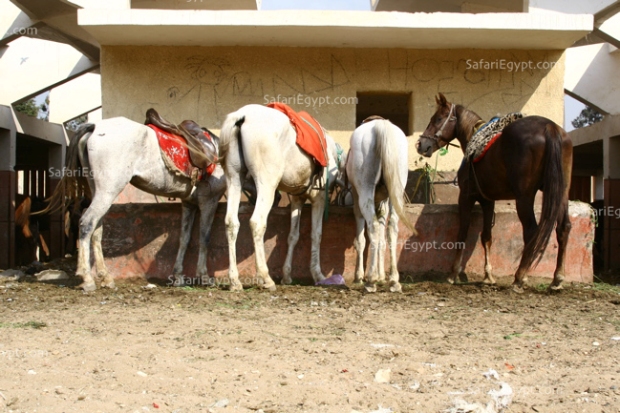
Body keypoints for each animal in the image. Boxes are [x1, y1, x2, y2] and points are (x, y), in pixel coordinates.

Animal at [44, 115, 228, 290]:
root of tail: (95, 127)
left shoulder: (188, 203)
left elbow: (184, 239)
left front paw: (178, 277)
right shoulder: (209, 201)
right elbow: (204, 238)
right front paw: (204, 277)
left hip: (98, 191)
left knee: (97, 229)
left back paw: (106, 278)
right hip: (108, 191)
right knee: (87, 223)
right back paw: (87, 278)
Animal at [219, 103, 344, 290]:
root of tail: (242, 117)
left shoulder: (297, 198)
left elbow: (293, 235)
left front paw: (287, 275)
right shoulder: (319, 198)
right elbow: (316, 234)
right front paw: (318, 275)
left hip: (233, 178)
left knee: (231, 222)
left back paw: (235, 281)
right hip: (267, 183)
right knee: (257, 222)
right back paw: (266, 278)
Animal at [344, 118, 416, 292]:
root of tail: (379, 125)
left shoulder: (357, 201)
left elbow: (362, 240)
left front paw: (360, 276)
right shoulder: (384, 203)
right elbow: (381, 240)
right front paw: (382, 275)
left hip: (365, 192)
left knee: (374, 226)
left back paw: (370, 280)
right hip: (396, 190)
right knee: (392, 229)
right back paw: (394, 280)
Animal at [416, 94, 572, 290]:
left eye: (437, 118)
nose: (421, 145)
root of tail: (549, 127)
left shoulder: (466, 197)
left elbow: (462, 233)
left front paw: (453, 273)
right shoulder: (488, 200)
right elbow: (486, 237)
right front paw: (488, 276)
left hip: (525, 197)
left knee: (531, 231)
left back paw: (520, 277)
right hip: (561, 192)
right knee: (563, 228)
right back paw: (557, 279)